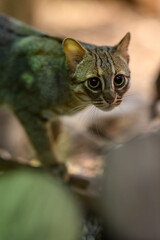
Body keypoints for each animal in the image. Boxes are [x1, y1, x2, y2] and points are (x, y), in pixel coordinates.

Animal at [0, 14, 131, 176]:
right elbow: (42, 141)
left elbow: (56, 131)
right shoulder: (25, 109)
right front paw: (53, 165)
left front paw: (37, 159)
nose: (111, 99)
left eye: (119, 79)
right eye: (94, 82)